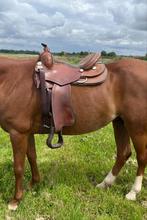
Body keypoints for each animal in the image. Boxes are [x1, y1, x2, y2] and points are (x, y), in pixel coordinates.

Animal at [0, 49, 146, 211]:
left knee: (141, 158)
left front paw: (15, 200)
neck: (12, 81)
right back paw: (104, 184)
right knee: (123, 153)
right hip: (120, 122)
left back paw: (133, 192)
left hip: (136, 126)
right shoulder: (27, 132)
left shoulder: (17, 133)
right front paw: (33, 184)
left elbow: (18, 167)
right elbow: (32, 157)